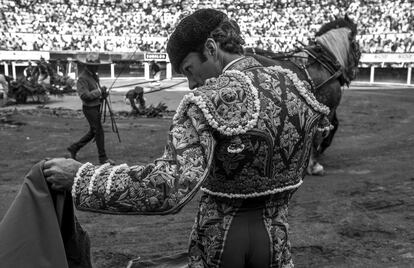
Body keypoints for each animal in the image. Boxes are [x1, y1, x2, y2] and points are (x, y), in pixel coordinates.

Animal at [244, 14, 360, 175]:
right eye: (356, 44)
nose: (354, 72)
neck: (324, 61)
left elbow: (333, 125)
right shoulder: (328, 106)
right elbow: (322, 132)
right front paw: (314, 163)